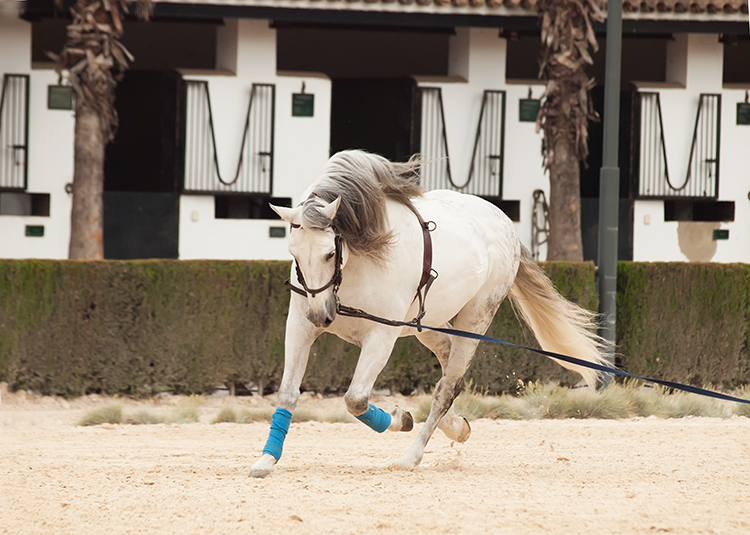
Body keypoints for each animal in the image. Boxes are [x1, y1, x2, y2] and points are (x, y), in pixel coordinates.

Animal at [253, 150, 612, 478]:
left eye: (329, 253)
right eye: (293, 253)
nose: (321, 316)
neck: (357, 261)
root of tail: (505, 224)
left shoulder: (381, 336)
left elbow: (356, 399)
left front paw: (401, 419)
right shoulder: (300, 327)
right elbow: (288, 394)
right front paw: (266, 460)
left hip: (475, 319)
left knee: (446, 388)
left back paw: (411, 456)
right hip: (428, 325)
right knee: (448, 368)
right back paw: (457, 427)